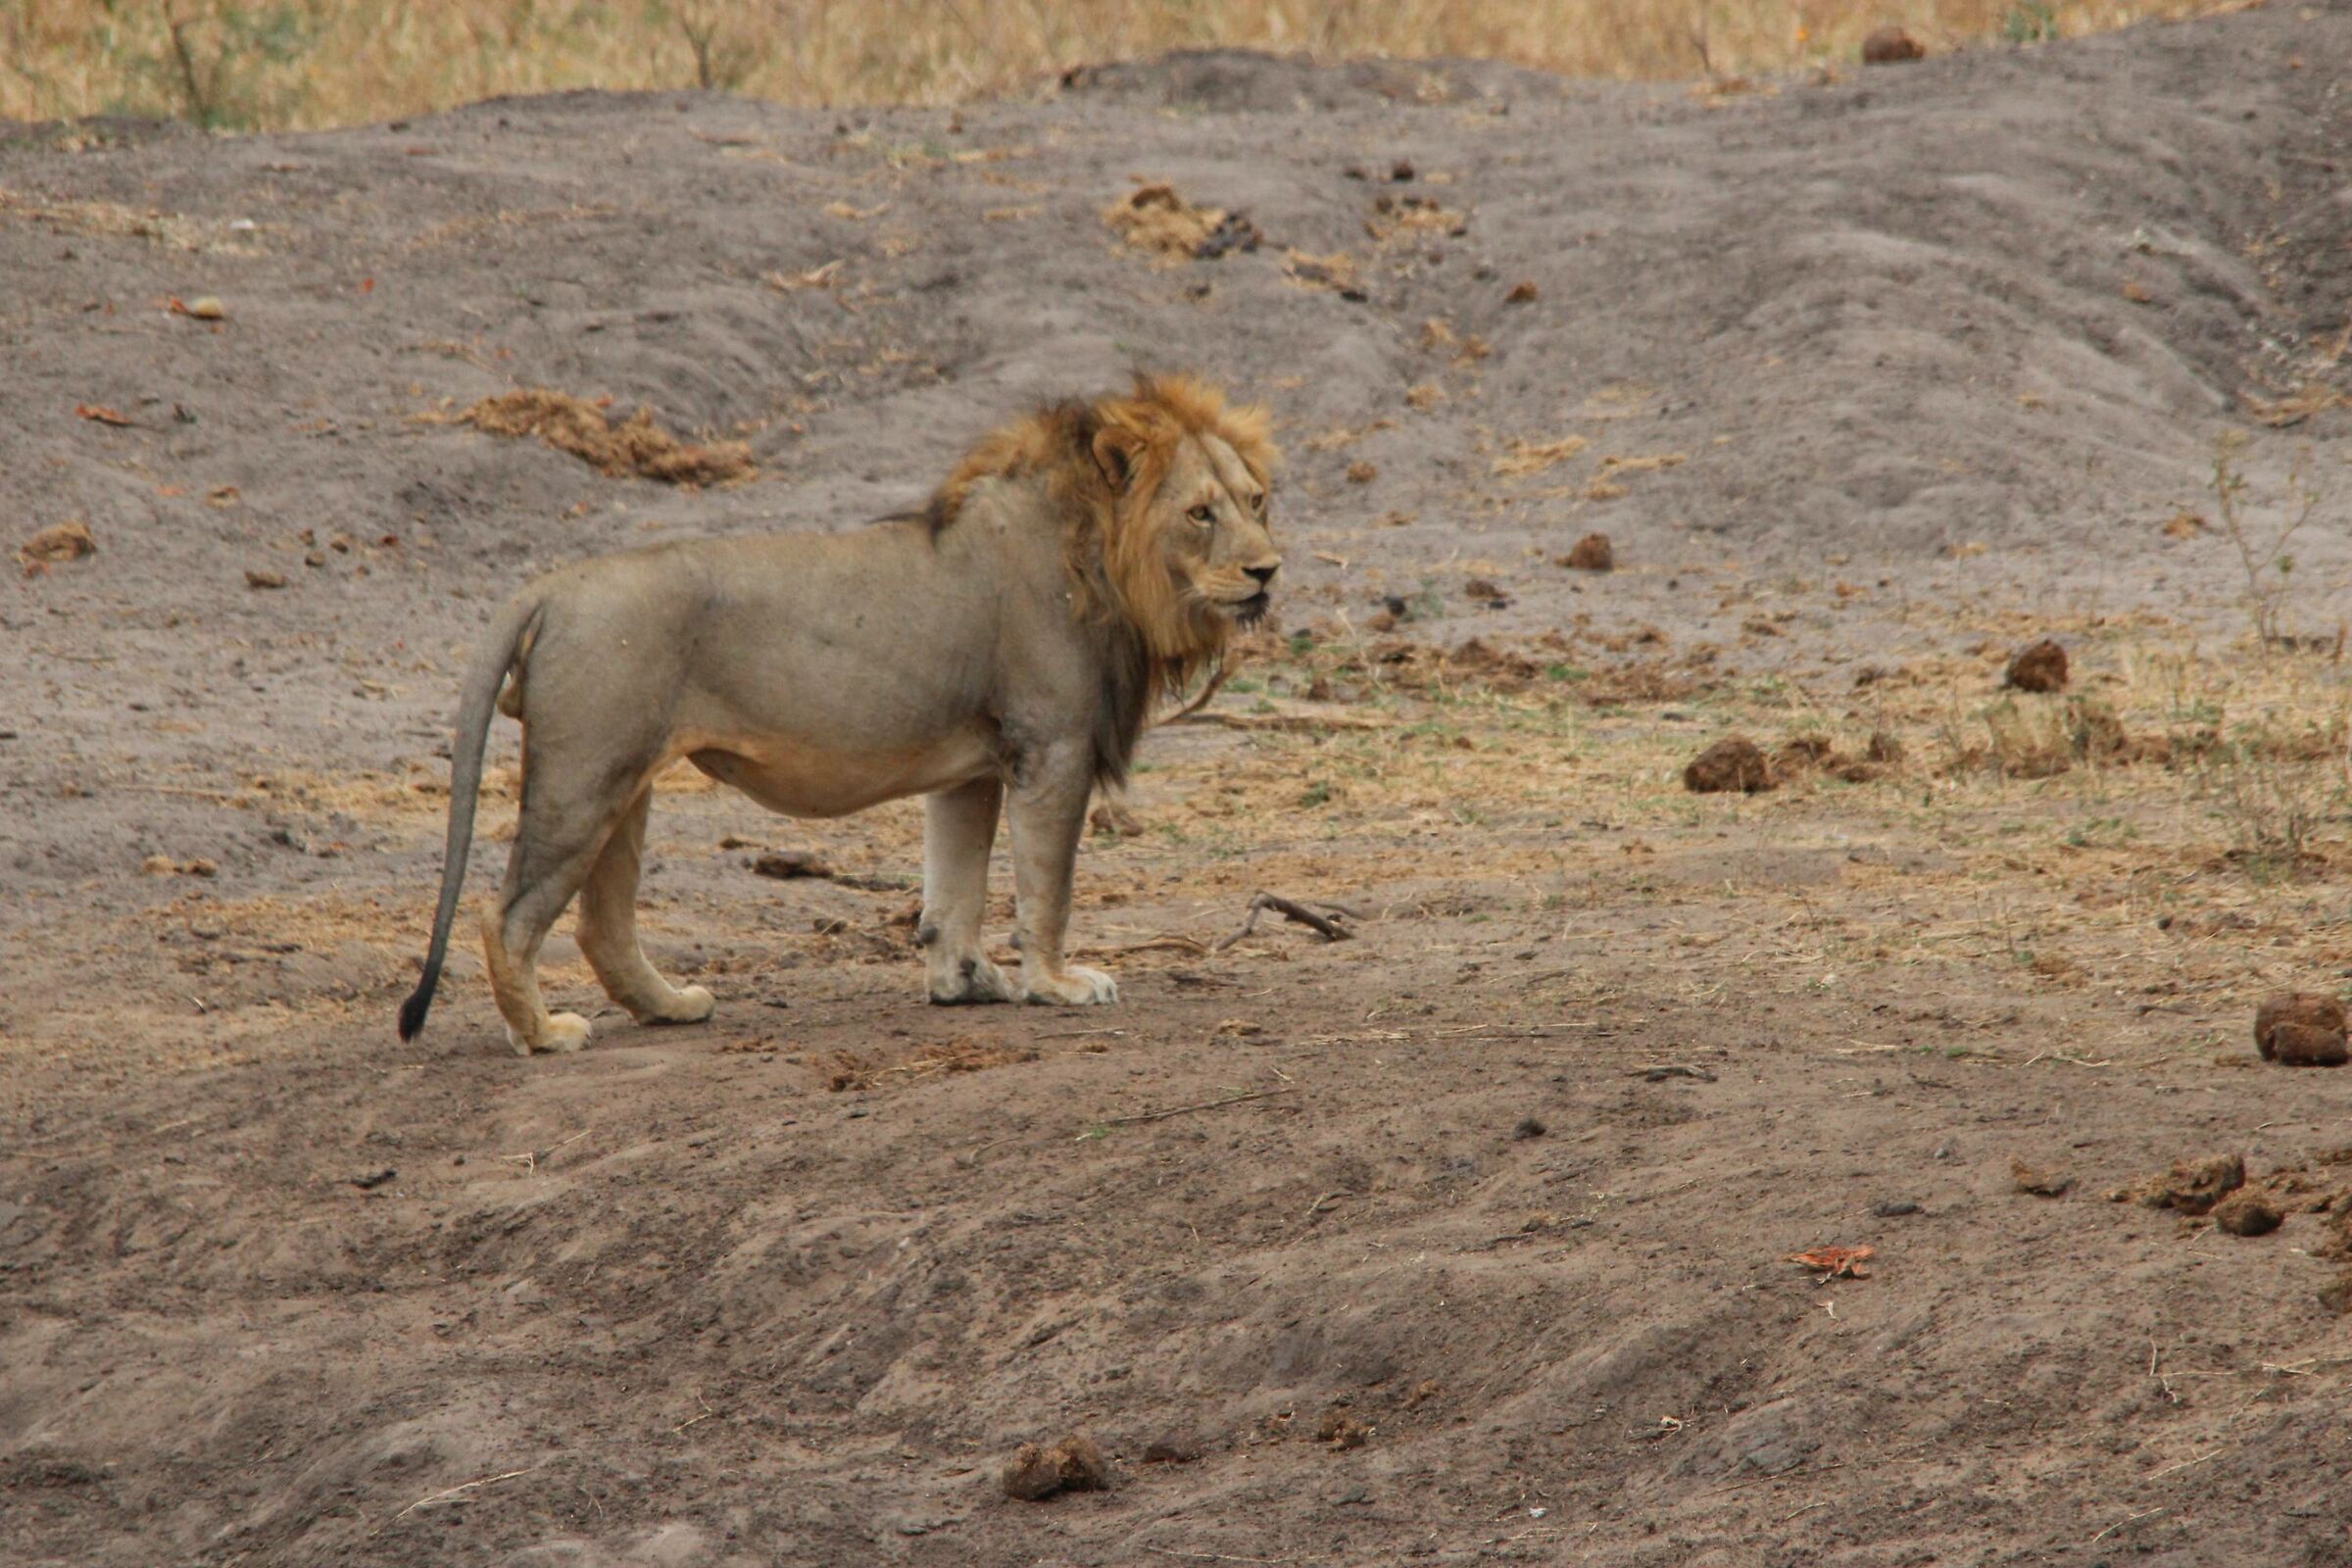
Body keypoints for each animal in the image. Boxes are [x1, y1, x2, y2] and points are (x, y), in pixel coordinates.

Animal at [397, 374, 1280, 1054]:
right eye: (1201, 514)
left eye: (1257, 501)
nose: (1268, 570)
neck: (1101, 560)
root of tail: (552, 585)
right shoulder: (1051, 748)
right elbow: (1046, 888)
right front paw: (1058, 983)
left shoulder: (974, 769)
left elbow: (953, 889)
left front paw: (963, 981)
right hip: (584, 779)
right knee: (506, 915)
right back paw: (543, 1034)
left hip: (626, 782)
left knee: (601, 925)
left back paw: (671, 1007)